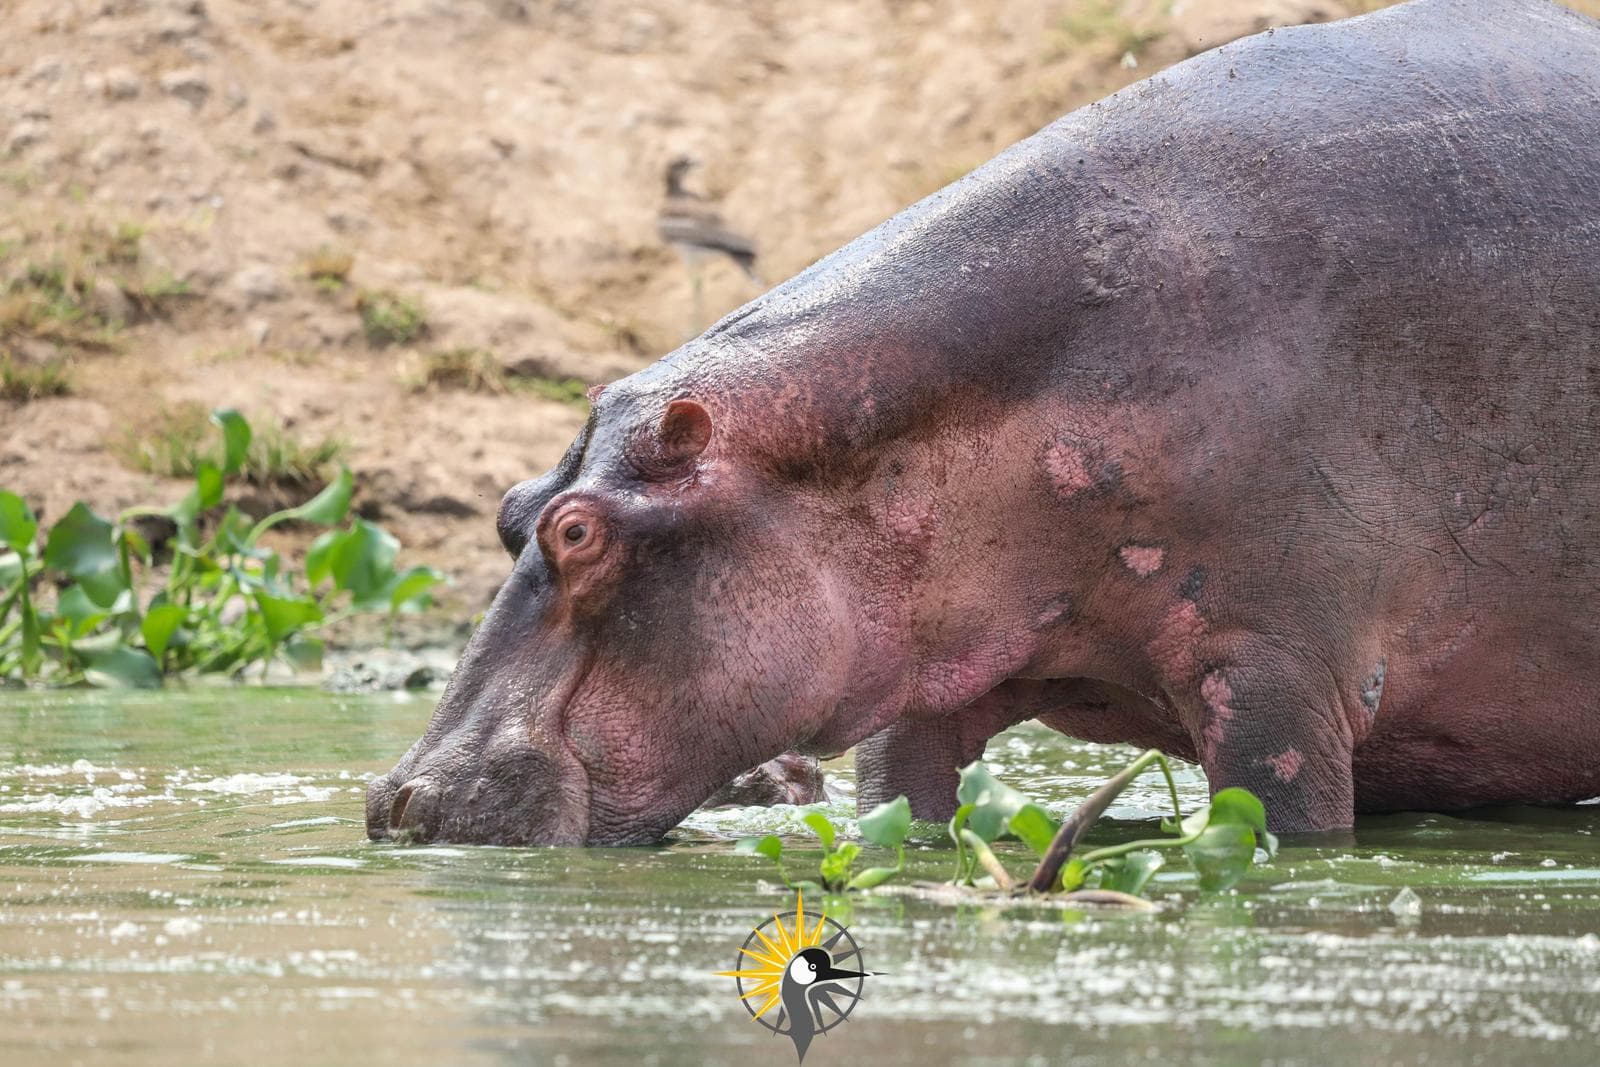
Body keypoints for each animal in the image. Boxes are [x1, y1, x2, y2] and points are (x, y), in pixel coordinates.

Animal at [368, 0, 1600, 845]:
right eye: (507, 509)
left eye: (577, 531)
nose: (396, 796)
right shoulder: (922, 684)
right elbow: (898, 806)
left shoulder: (1274, 676)